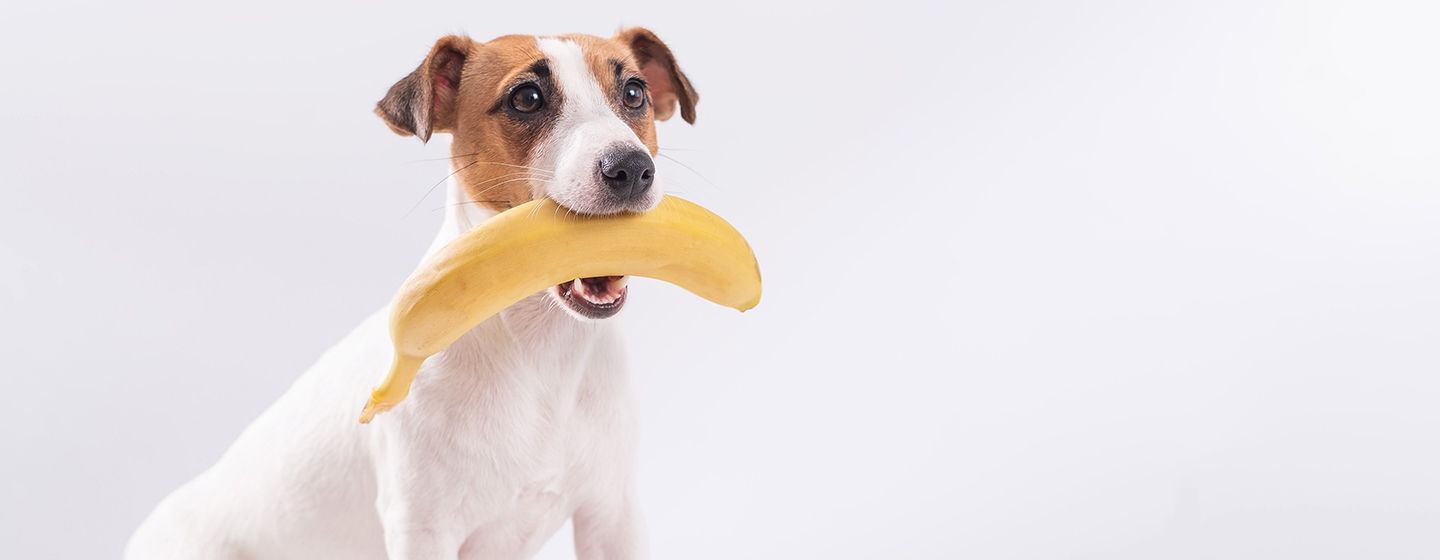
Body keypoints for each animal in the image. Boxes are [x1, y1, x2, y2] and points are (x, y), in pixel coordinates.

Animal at [126, 27, 699, 558]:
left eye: (634, 92)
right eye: (527, 98)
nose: (631, 168)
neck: (541, 357)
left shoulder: (612, 515)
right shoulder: (422, 529)